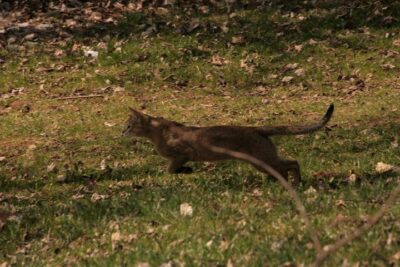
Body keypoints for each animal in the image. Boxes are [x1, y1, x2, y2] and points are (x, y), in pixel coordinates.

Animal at [122, 103, 334, 185]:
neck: (158, 132)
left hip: (262, 159)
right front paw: (187, 171)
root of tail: (256, 128)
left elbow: (170, 169)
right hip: (262, 161)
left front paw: (187, 170)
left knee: (293, 163)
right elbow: (172, 169)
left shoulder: (184, 152)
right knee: (284, 168)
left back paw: (296, 183)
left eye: (129, 125)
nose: (122, 131)